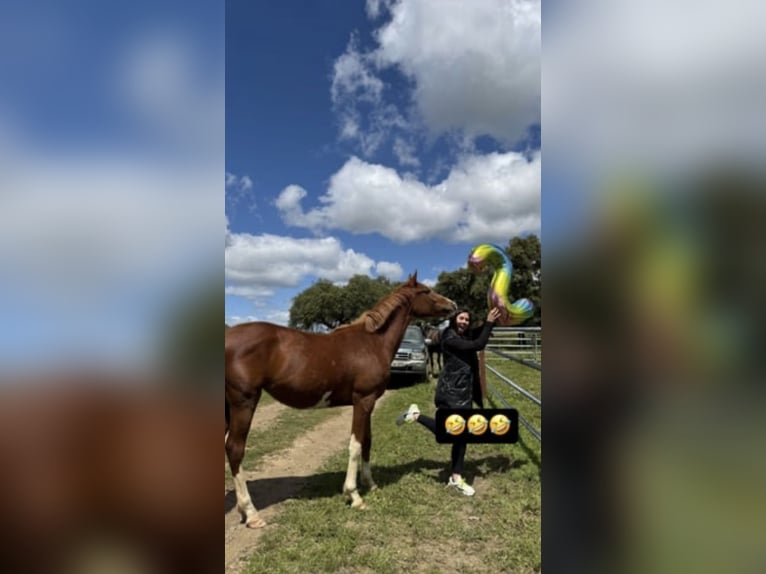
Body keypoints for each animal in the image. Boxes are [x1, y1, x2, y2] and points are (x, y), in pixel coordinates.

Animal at [225, 272, 456, 529]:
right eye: (426, 291)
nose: (453, 305)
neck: (372, 342)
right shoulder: (363, 401)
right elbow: (355, 445)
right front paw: (353, 495)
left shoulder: (369, 403)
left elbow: (367, 442)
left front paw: (370, 485)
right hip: (244, 402)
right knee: (235, 449)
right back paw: (251, 513)